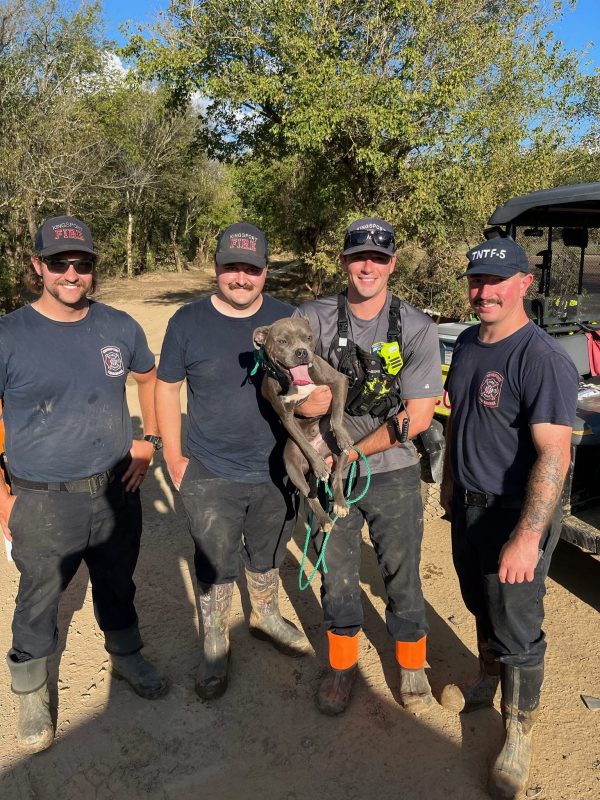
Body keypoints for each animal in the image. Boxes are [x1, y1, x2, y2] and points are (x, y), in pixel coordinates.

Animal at [254, 318, 356, 532]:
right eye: (282, 341)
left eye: (308, 337)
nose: (301, 352)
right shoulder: (286, 416)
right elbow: (304, 443)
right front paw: (318, 465)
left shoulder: (339, 380)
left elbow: (336, 415)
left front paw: (341, 435)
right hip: (292, 465)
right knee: (310, 495)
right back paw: (325, 520)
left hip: (341, 452)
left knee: (336, 477)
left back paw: (340, 504)